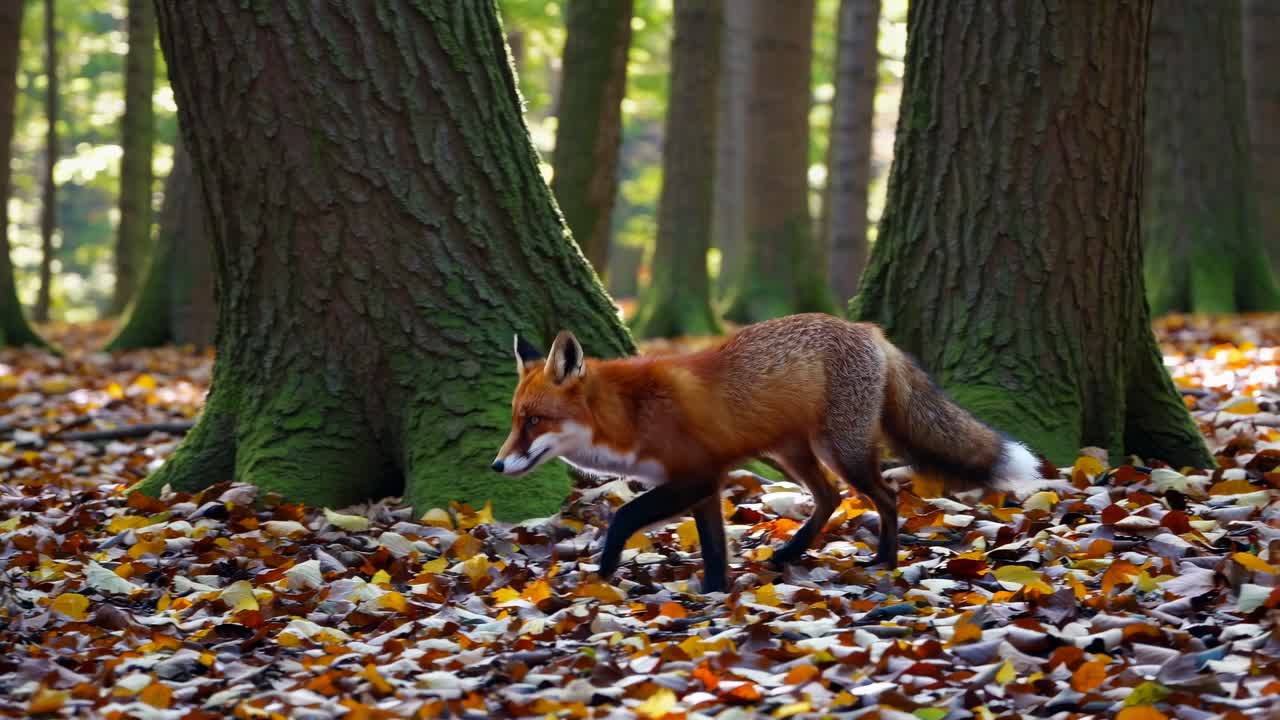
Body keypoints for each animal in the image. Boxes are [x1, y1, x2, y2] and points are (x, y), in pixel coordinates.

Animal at [492, 313, 1043, 593]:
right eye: (515, 419)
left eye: (534, 421)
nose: (496, 465)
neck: (630, 415)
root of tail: (868, 330)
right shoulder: (704, 484)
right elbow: (714, 545)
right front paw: (715, 589)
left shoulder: (695, 476)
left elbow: (624, 517)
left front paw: (603, 575)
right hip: (790, 454)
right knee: (829, 498)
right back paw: (789, 553)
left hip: (839, 450)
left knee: (884, 497)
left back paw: (884, 560)